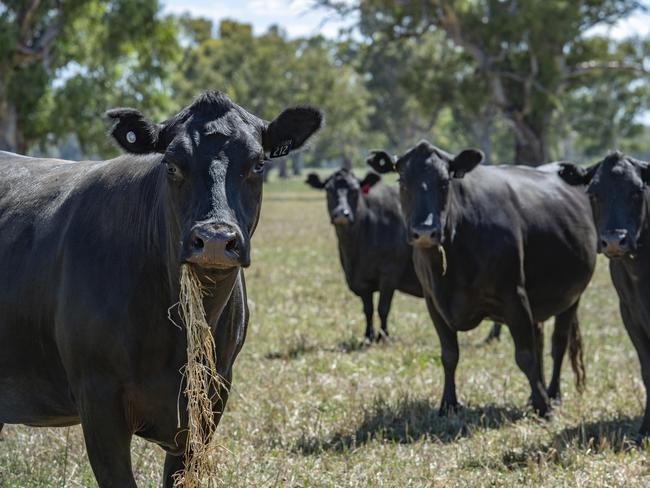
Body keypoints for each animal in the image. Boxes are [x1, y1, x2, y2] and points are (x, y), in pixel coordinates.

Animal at [304, 170, 420, 342]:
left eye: (354, 191)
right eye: (328, 190)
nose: (342, 213)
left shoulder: (390, 274)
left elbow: (383, 308)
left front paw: (383, 336)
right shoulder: (360, 281)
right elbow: (368, 309)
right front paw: (368, 336)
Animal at [368, 143, 596, 418]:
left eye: (445, 182)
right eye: (402, 180)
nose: (424, 231)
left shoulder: (515, 296)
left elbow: (525, 355)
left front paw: (544, 409)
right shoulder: (434, 303)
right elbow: (449, 355)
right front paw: (448, 404)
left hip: (572, 296)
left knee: (557, 343)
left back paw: (552, 394)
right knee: (541, 339)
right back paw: (535, 395)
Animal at [556, 152, 648, 438]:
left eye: (637, 190)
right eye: (594, 194)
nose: (615, 241)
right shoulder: (629, 313)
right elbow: (647, 369)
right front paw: (645, 429)